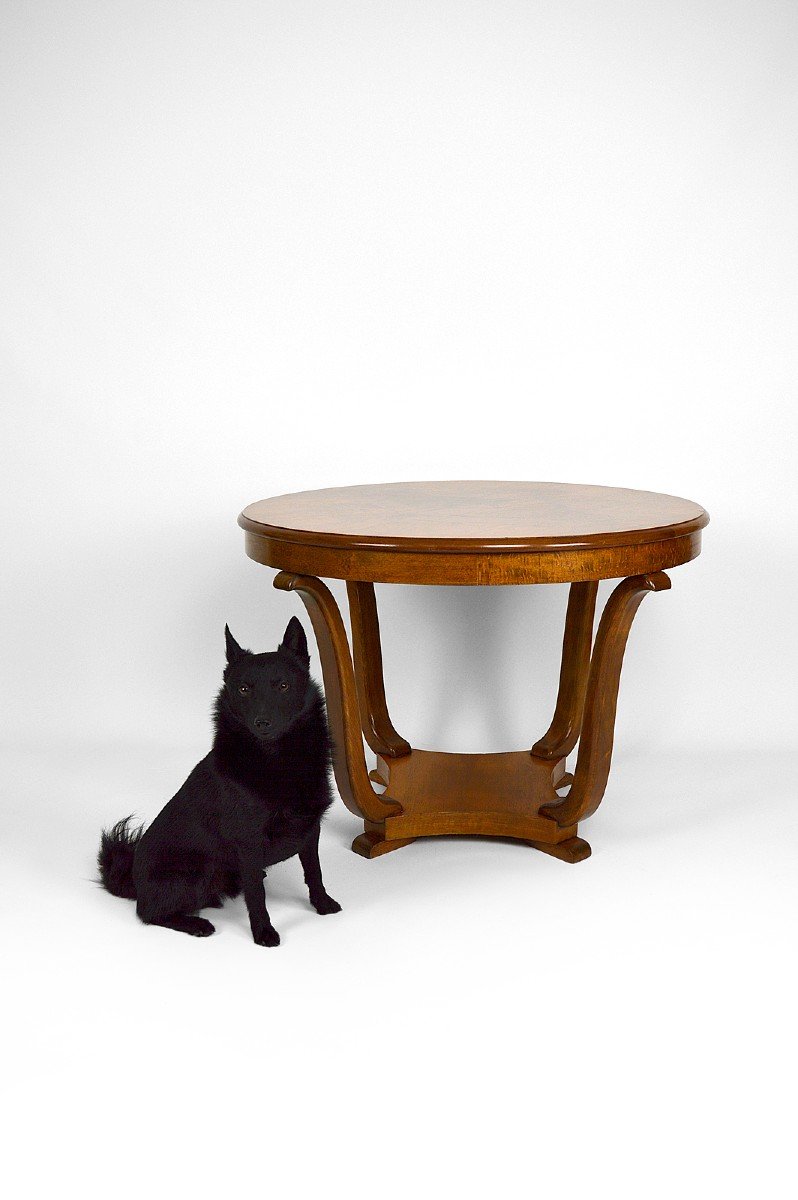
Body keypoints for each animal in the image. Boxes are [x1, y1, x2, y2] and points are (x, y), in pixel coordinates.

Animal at [97, 619, 338, 945]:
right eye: (244, 689)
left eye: (283, 686)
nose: (262, 722)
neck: (276, 760)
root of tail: (132, 880)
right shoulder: (249, 843)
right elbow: (257, 896)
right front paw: (263, 932)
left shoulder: (311, 829)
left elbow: (315, 873)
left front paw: (323, 904)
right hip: (195, 871)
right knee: (149, 913)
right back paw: (196, 924)